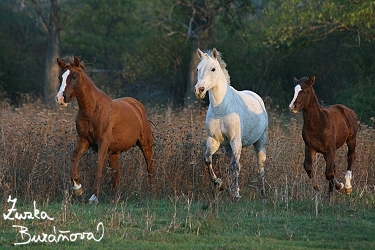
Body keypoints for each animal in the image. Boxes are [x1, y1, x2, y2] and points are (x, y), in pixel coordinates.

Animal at [56, 55, 156, 203]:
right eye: (60, 77)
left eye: (74, 77)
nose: (61, 99)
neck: (92, 111)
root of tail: (138, 106)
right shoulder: (84, 140)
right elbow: (74, 158)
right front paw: (78, 188)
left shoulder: (102, 142)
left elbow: (98, 167)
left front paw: (93, 198)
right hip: (113, 153)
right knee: (116, 175)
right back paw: (115, 198)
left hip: (145, 144)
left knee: (150, 167)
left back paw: (151, 193)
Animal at [195, 47, 268, 200]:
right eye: (198, 68)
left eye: (213, 69)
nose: (199, 89)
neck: (222, 109)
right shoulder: (213, 140)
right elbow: (208, 160)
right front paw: (219, 184)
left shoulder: (235, 140)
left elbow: (235, 166)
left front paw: (236, 194)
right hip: (227, 148)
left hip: (260, 142)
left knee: (260, 168)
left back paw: (263, 195)